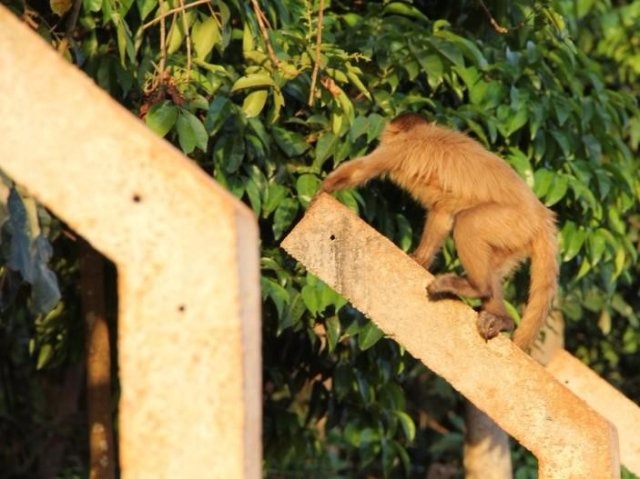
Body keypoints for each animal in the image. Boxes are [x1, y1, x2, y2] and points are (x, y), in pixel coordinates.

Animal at [322, 114, 556, 350]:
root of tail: (542, 216)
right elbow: (442, 216)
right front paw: (420, 259)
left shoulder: (398, 148)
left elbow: (359, 171)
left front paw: (322, 190)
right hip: (517, 237)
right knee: (493, 267)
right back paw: (502, 318)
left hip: (513, 220)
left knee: (467, 224)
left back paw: (478, 288)